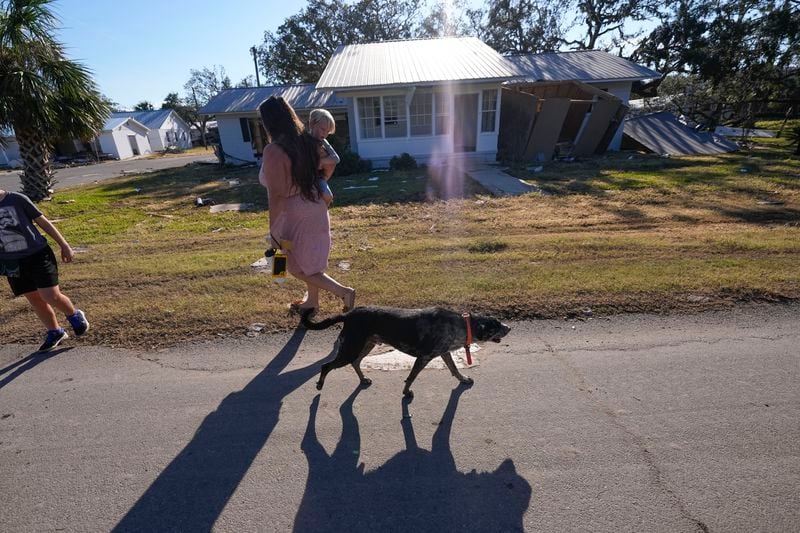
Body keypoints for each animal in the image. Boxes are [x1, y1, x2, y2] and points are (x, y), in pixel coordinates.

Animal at [300, 306, 512, 396]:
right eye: (495, 325)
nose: (509, 327)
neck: (461, 324)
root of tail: (348, 314)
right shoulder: (423, 357)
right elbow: (411, 377)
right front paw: (406, 392)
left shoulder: (444, 353)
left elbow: (454, 369)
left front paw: (463, 379)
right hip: (351, 348)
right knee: (326, 366)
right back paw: (319, 384)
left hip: (366, 345)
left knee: (356, 362)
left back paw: (363, 379)